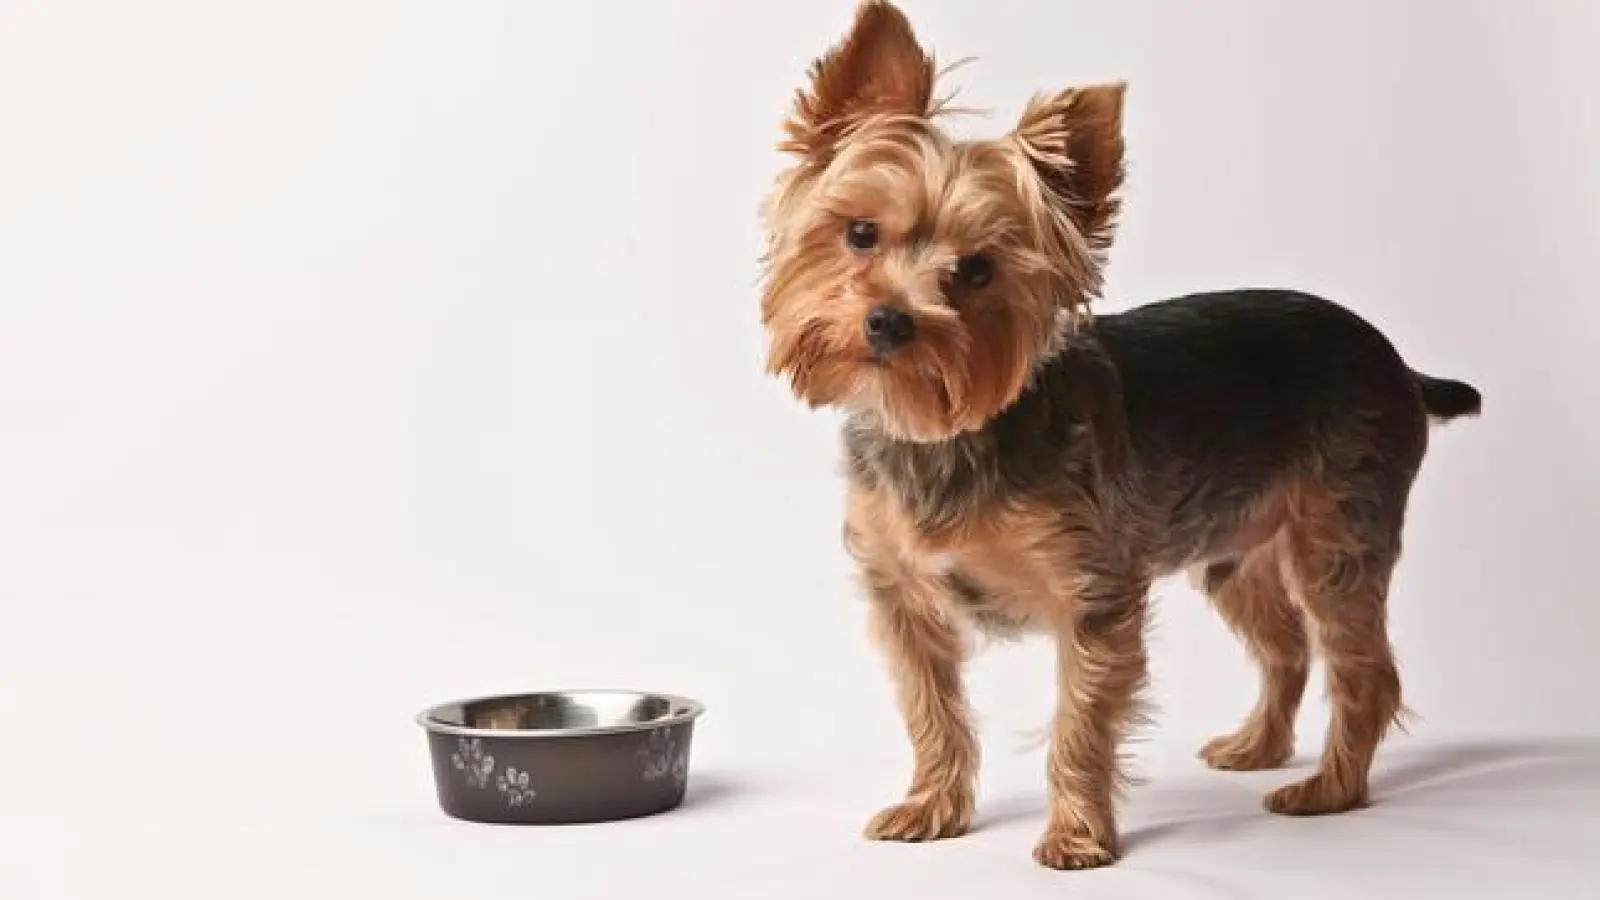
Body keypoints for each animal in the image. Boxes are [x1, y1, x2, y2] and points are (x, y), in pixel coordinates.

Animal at [755, 0, 1478, 871]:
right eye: (860, 233)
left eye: (978, 271)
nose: (890, 320)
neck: (941, 435)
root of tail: (1395, 360)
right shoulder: (901, 595)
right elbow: (932, 709)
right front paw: (932, 807)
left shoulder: (1093, 594)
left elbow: (1081, 723)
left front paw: (1075, 835)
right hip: (1235, 549)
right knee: (1286, 649)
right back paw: (1258, 748)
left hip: (1337, 533)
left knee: (1363, 671)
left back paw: (1327, 790)